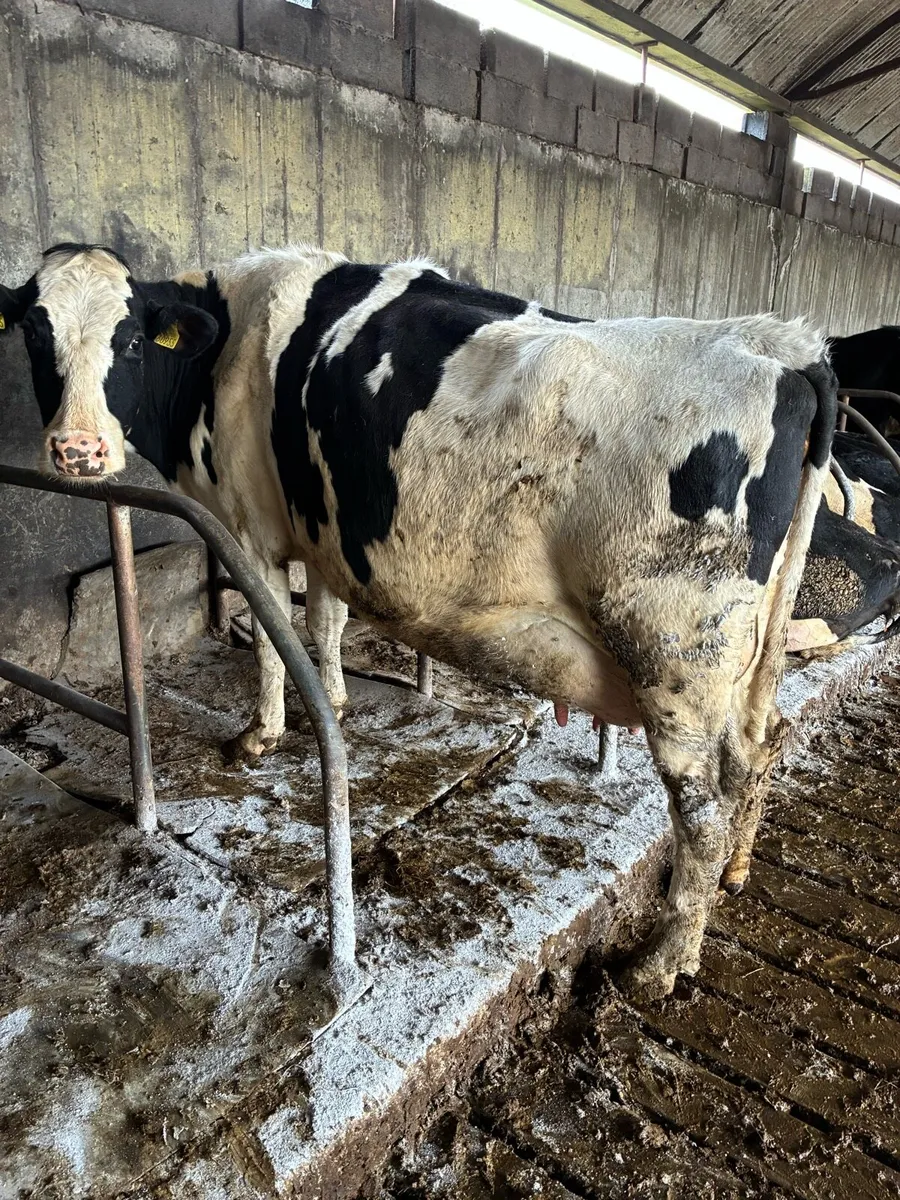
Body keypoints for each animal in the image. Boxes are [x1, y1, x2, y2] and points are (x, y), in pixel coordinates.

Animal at [0, 243, 837, 997]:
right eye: (36, 335)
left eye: (130, 340)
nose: (78, 451)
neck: (231, 336)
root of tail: (779, 343)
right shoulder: (322, 528)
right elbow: (326, 623)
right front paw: (336, 700)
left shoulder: (248, 526)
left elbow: (272, 639)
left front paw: (258, 734)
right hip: (748, 659)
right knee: (760, 751)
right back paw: (735, 875)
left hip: (673, 655)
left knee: (702, 810)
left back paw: (660, 966)